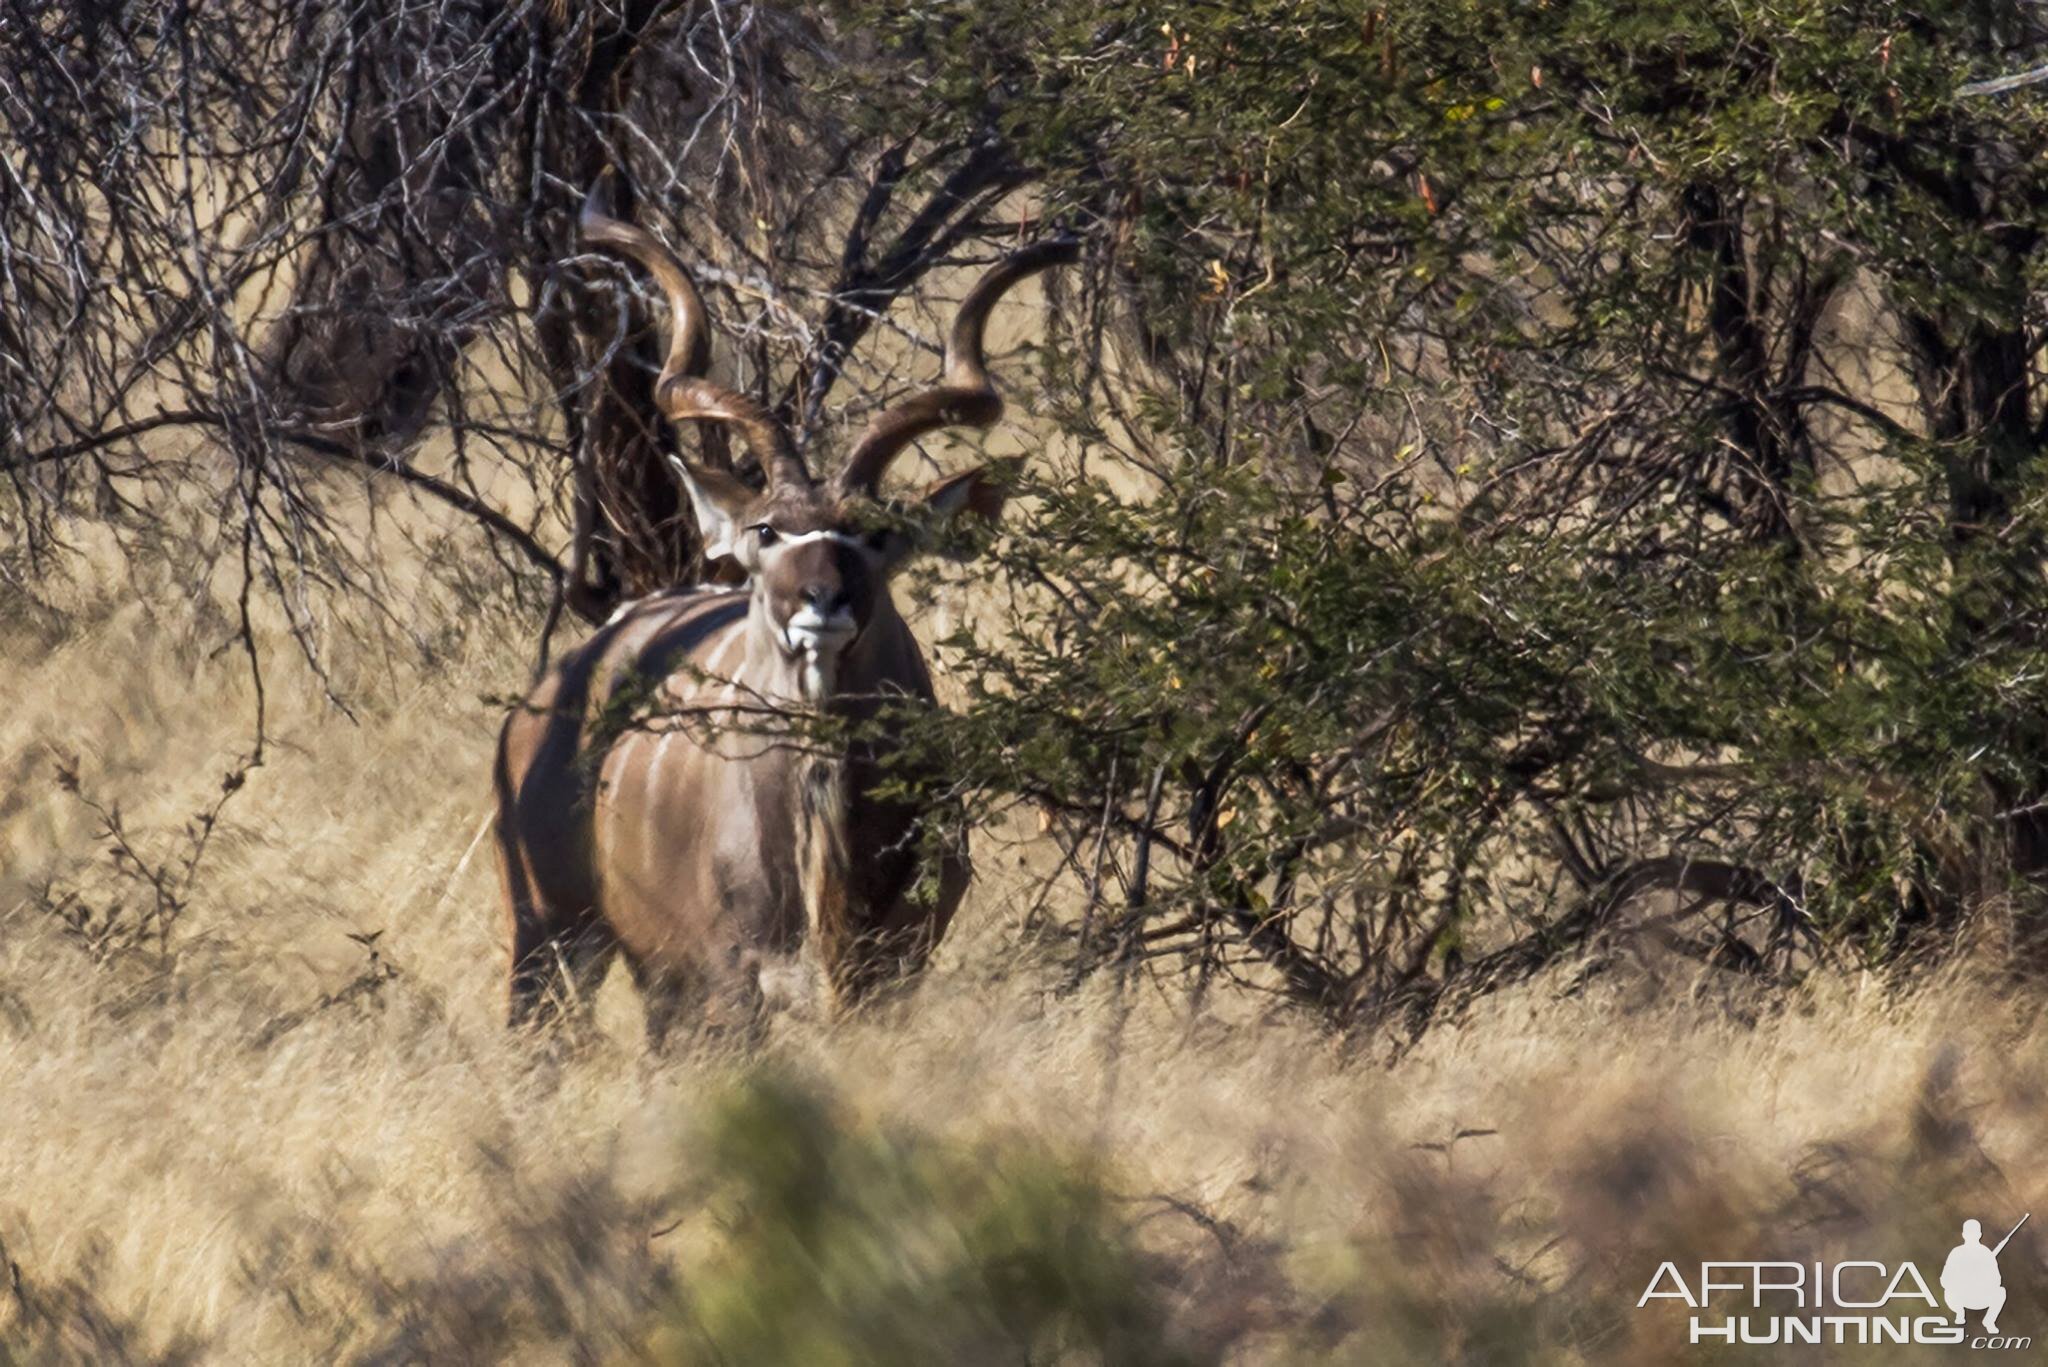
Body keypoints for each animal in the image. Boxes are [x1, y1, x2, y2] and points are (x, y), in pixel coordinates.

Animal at [495, 189, 1073, 1049]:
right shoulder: (730, 983)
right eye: (767, 530)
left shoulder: (893, 972)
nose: (821, 601)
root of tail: (541, 698)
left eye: (875, 533)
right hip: (550, 933)